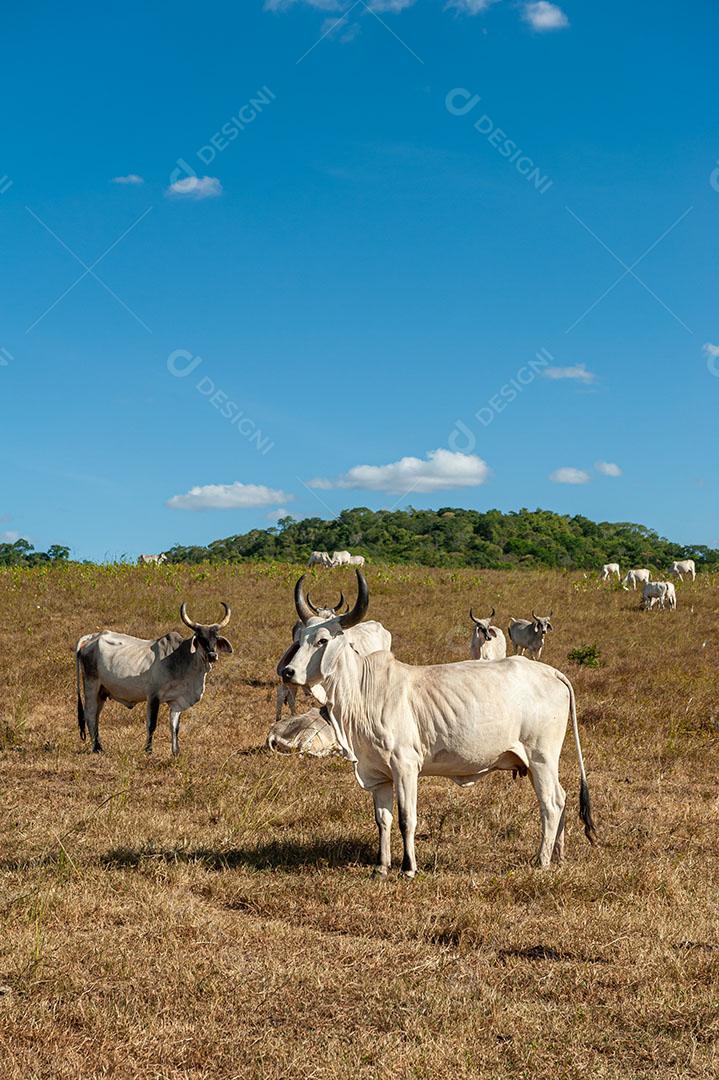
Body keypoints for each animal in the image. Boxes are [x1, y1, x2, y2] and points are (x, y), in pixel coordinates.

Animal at [73, 600, 231, 760]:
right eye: (200, 638)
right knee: (90, 714)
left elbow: (175, 726)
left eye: (215, 638)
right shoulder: (154, 696)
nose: (212, 656)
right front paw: (148, 750)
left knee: (96, 715)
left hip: (101, 692)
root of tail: (92, 637)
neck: (182, 660)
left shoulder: (177, 701)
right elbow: (152, 724)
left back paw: (99, 745)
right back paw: (96, 747)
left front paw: (176, 752)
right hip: (91, 685)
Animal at [280, 570, 591, 881]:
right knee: (562, 798)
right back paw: (559, 855)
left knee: (551, 803)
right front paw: (381, 866)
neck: (363, 690)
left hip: (541, 758)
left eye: (322, 641)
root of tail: (552, 672)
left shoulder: (405, 766)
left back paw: (542, 860)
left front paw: (408, 868)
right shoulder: (378, 774)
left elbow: (406, 819)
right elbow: (383, 820)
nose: (287, 672)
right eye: (300, 637)